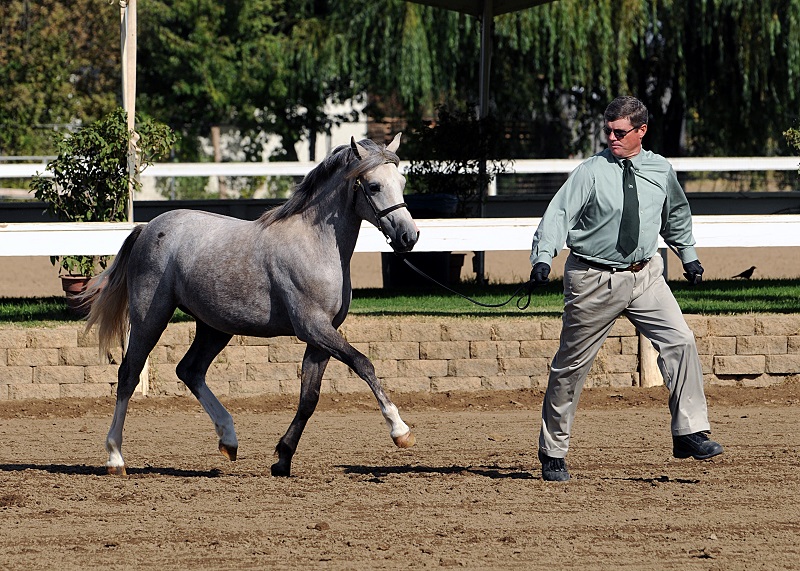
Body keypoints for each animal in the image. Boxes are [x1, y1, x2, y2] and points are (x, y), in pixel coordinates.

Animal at [82, 133, 419, 477]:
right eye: (374, 186)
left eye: (402, 182)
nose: (409, 236)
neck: (315, 244)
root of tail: (147, 228)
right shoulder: (312, 327)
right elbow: (363, 364)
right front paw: (400, 430)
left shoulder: (321, 337)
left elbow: (309, 398)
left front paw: (282, 458)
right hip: (150, 318)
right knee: (129, 374)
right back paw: (115, 458)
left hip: (214, 327)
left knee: (190, 370)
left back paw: (228, 439)